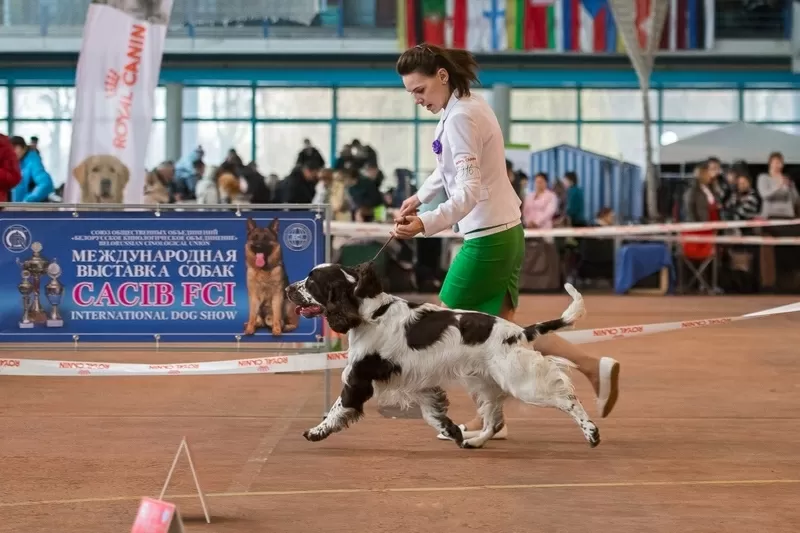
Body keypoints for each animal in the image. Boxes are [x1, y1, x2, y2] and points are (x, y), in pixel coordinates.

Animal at [288, 260, 600, 446]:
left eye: (311, 282)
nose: (289, 287)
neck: (367, 312)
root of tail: (521, 332)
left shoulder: (358, 378)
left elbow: (337, 408)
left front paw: (315, 432)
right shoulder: (417, 379)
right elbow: (433, 412)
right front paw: (453, 431)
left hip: (521, 382)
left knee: (568, 398)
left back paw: (592, 432)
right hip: (486, 384)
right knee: (494, 421)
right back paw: (474, 442)